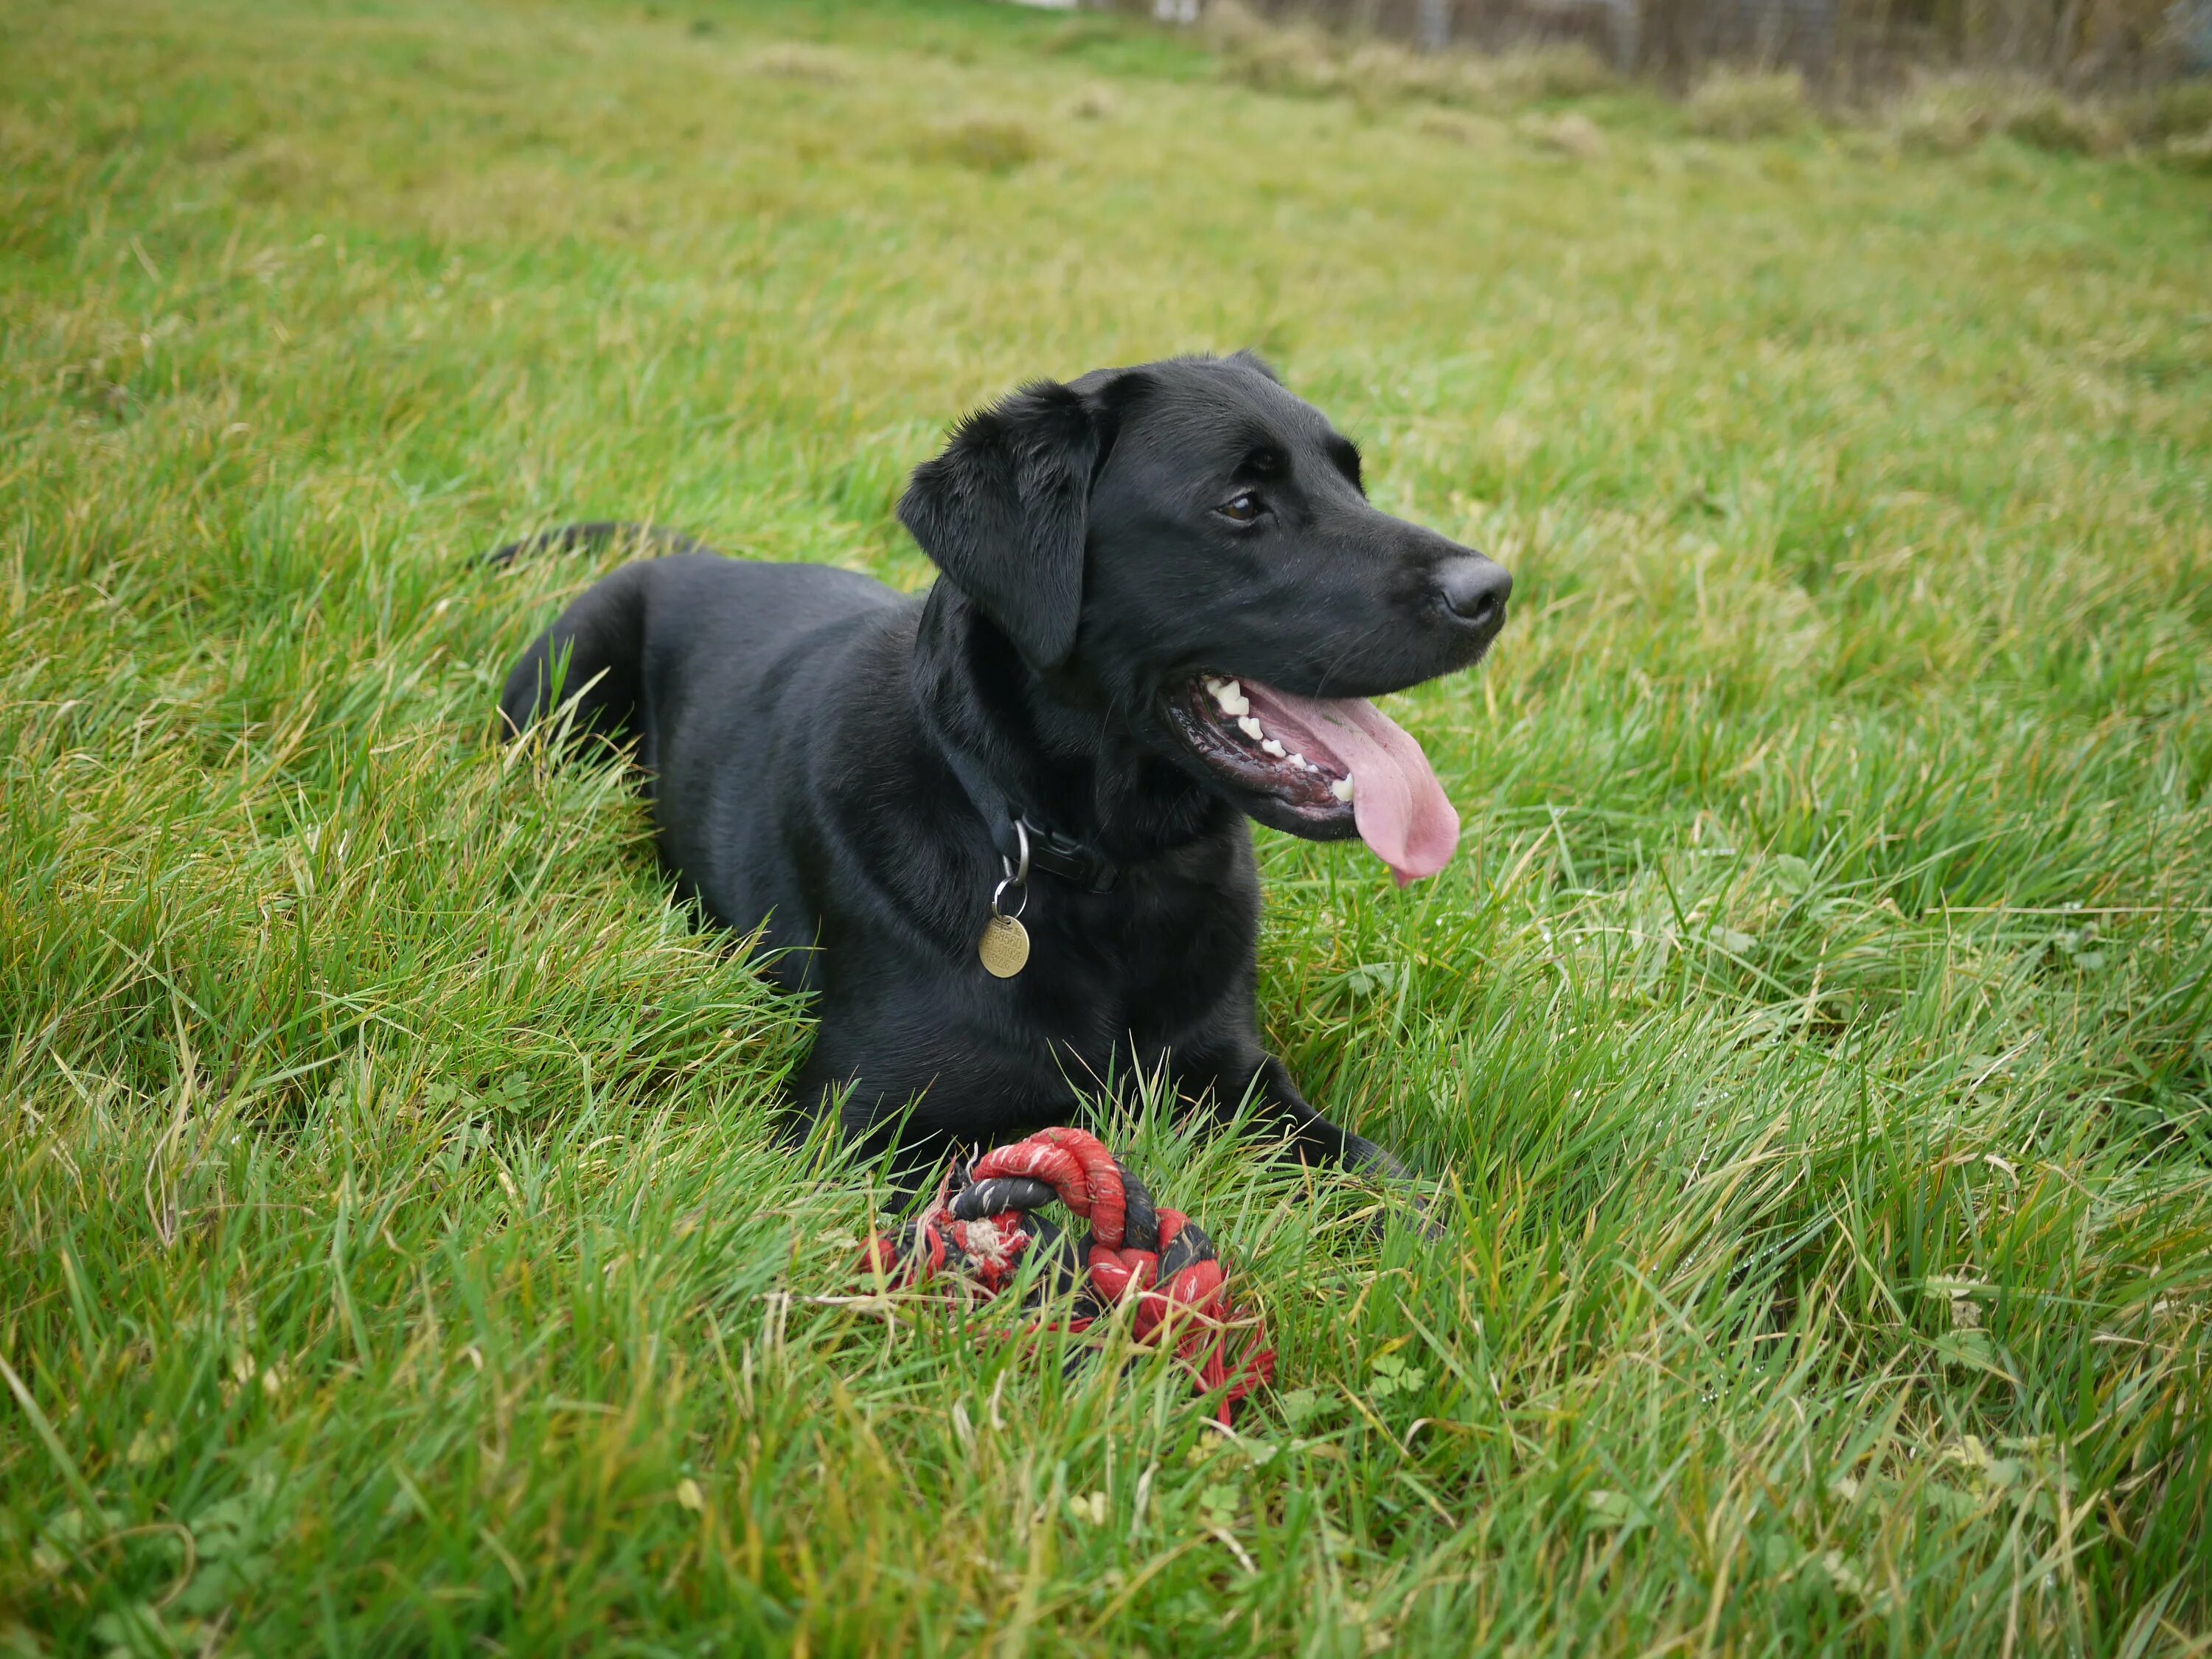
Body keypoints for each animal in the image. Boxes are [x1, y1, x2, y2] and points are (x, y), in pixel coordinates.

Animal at [498, 352, 1504, 1186]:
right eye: (1241, 504)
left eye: (1352, 478)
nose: (1494, 592)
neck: (1107, 874)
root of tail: (693, 554)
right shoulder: (853, 1124)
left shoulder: (1235, 1072)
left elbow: (1381, 1177)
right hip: (568, 681)